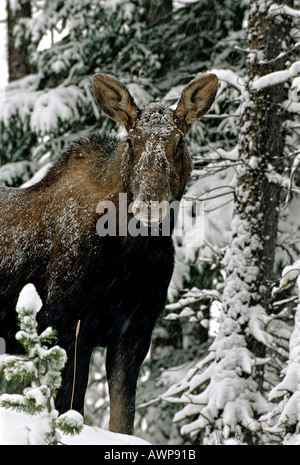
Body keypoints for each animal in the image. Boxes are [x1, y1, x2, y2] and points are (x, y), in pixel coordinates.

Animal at [0, 70, 217, 434]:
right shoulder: (66, 325)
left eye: (179, 142)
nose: (149, 203)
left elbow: (123, 419)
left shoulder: (134, 332)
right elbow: (70, 409)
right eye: (131, 140)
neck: (131, 257)